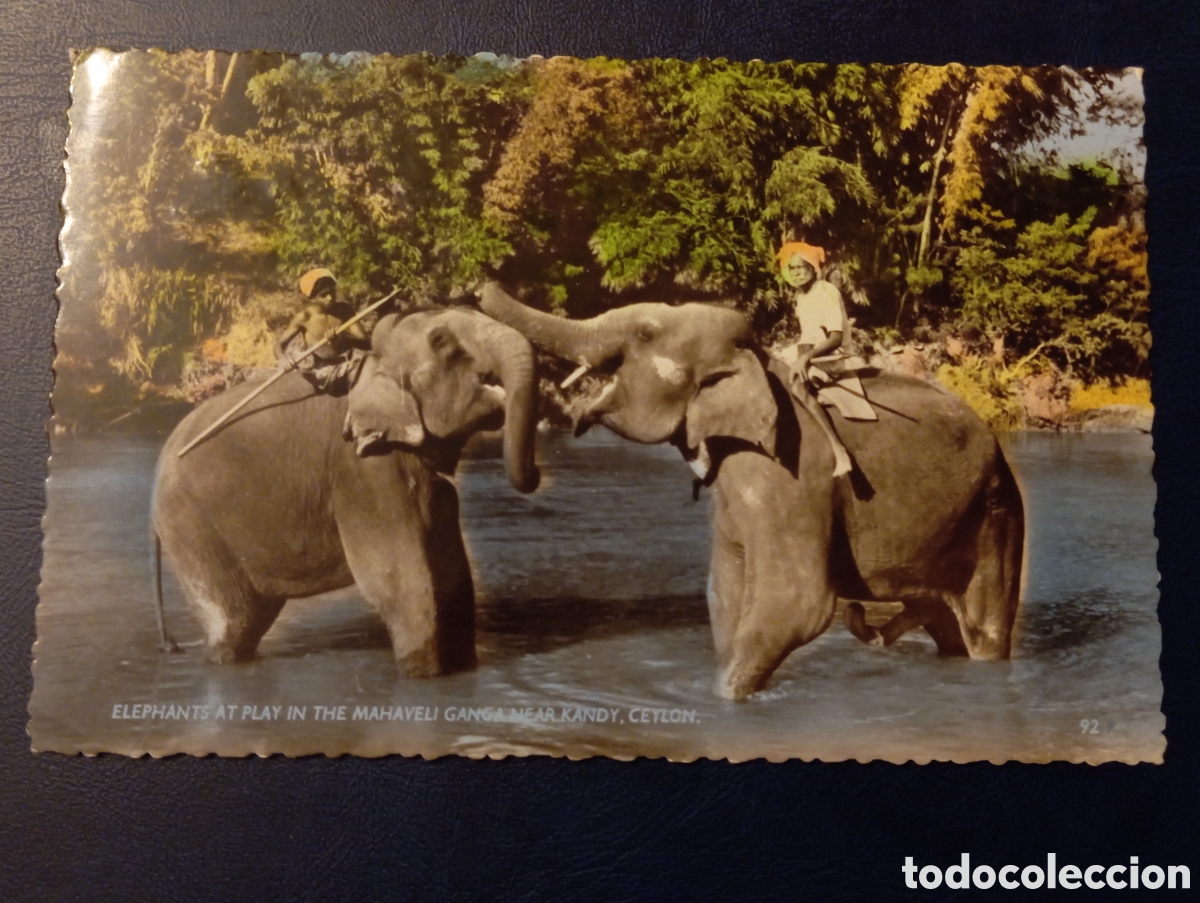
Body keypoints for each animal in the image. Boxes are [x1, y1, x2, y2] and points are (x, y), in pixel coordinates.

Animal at [152, 305, 540, 676]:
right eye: (441, 341)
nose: (537, 473)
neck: (373, 364)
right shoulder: (364, 470)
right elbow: (396, 576)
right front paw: (425, 676)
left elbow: (452, 569)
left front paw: (463, 669)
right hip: (191, 530)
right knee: (233, 622)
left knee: (252, 620)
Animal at [480, 283, 1025, 701]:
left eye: (645, 334)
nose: (481, 287)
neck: (755, 363)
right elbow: (724, 593)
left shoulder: (791, 478)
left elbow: (798, 604)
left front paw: (725, 699)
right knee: (946, 626)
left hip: (996, 515)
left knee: (985, 629)